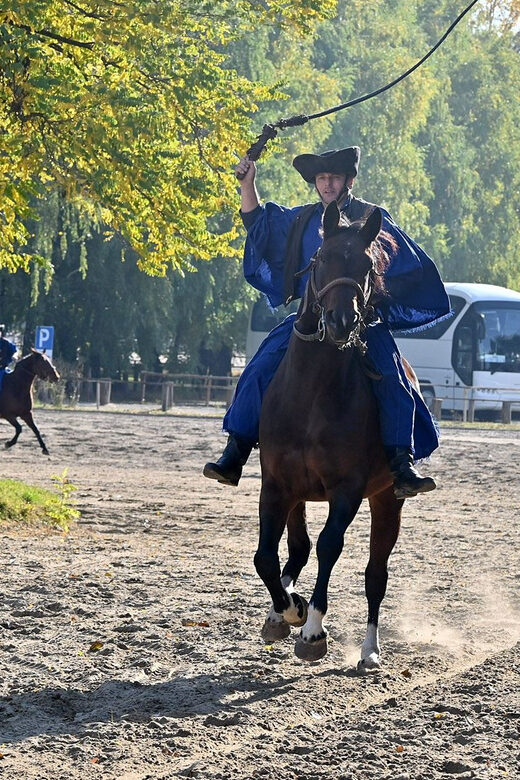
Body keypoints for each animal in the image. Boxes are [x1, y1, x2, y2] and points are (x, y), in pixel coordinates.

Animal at [255, 201, 406, 670]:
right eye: (320, 259)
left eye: (367, 265)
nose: (342, 320)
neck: (312, 392)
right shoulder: (277, 484)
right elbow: (267, 556)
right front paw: (288, 609)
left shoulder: (348, 489)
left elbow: (329, 548)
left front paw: (313, 629)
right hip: (300, 495)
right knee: (296, 549)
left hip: (386, 499)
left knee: (375, 574)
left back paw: (370, 650)